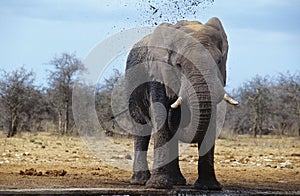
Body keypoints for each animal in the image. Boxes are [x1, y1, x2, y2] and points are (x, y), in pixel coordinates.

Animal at [123, 17, 234, 190]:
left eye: (219, 61)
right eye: (178, 65)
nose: (175, 110)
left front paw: (209, 187)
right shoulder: (157, 74)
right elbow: (161, 117)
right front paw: (158, 185)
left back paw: (177, 181)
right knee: (141, 129)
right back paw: (141, 181)